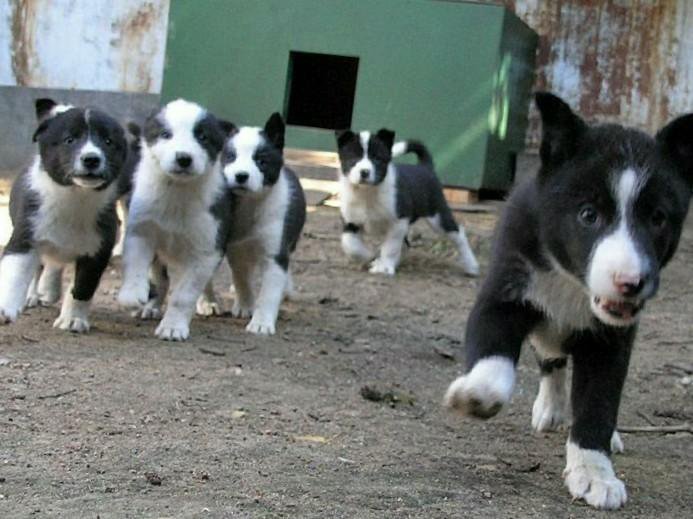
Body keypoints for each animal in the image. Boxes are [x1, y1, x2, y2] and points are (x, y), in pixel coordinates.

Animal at [0, 99, 127, 332]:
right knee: (41, 266)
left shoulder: (99, 249)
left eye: (107, 141)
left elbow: (83, 287)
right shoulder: (26, 234)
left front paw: (73, 319)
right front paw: (5, 308)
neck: (75, 196)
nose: (91, 159)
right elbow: (16, 271)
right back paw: (33, 294)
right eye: (69, 140)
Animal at [115, 98, 230, 342]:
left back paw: (209, 302)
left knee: (204, 282)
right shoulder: (141, 231)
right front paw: (132, 293)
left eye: (202, 136)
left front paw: (173, 327)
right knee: (162, 280)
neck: (177, 191)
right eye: (166, 134)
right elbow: (136, 265)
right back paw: (151, 306)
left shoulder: (207, 249)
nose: (183, 158)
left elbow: (183, 296)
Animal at [200, 111, 308, 336]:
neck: (251, 205)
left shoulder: (275, 252)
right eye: (230, 157)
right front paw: (244, 306)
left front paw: (261, 322)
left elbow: (269, 292)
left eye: (261, 161)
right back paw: (209, 303)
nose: (241, 176)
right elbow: (240, 278)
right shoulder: (235, 248)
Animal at [334, 129, 476, 276]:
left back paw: (471, 266)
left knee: (458, 235)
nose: (365, 172)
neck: (366, 192)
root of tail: (425, 167)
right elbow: (350, 245)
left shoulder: (398, 222)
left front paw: (385, 267)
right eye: (353, 158)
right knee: (406, 244)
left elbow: (390, 247)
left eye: (377, 159)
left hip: (438, 216)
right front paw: (369, 256)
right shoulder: (351, 222)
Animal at [446, 93, 688, 512]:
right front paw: (479, 395)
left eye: (658, 218)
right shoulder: (504, 295)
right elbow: (494, 355)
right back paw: (550, 407)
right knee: (551, 358)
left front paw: (594, 471)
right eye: (588, 214)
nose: (630, 283)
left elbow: (598, 402)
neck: (573, 284)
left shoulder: (613, 339)